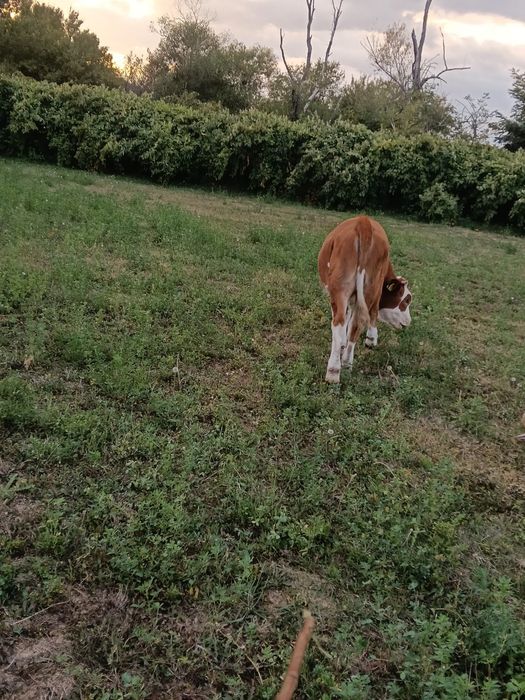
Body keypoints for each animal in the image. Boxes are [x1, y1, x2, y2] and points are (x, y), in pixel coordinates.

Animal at [318, 215, 412, 383]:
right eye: (407, 300)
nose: (409, 321)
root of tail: (364, 222)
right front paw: (370, 339)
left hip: (340, 289)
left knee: (340, 322)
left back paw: (335, 370)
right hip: (369, 287)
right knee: (355, 323)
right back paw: (345, 364)